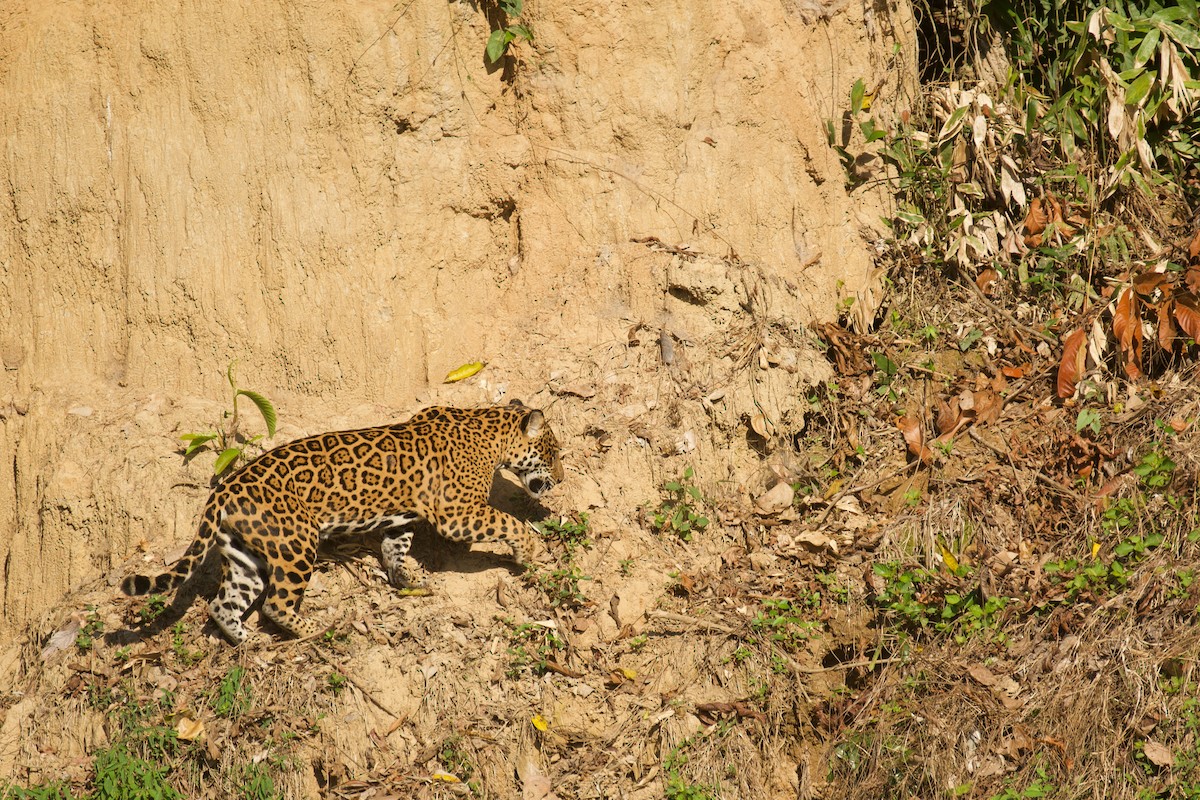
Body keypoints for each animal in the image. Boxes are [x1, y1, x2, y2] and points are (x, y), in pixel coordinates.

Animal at [121, 402, 564, 644]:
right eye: (554, 452)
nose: (560, 479)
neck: (489, 432)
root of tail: (224, 488)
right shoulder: (459, 513)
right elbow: (508, 522)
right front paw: (530, 551)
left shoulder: (403, 512)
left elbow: (396, 544)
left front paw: (404, 578)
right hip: (296, 544)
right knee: (276, 604)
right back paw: (315, 628)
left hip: (247, 555)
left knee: (223, 605)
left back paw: (250, 645)